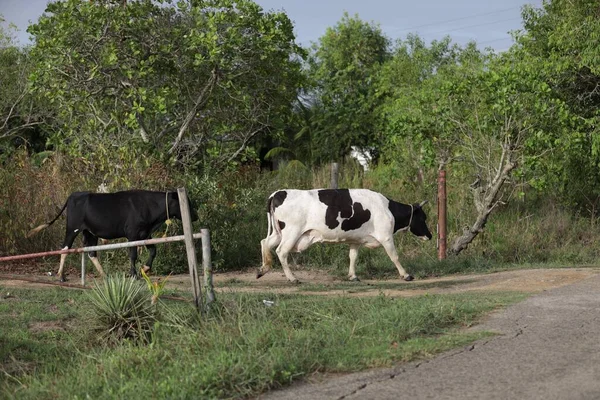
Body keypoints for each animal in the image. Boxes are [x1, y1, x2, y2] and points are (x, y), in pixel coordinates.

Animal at [28, 190, 198, 282]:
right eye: (186, 202)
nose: (195, 216)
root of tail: (75, 194)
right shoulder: (132, 233)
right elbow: (133, 254)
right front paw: (134, 275)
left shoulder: (145, 233)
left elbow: (153, 250)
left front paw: (145, 268)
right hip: (72, 228)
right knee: (65, 248)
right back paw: (61, 276)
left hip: (90, 232)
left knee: (91, 252)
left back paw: (104, 275)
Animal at [258, 189, 432, 282]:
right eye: (423, 217)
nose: (430, 236)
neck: (388, 208)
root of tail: (277, 193)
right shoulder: (386, 237)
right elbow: (394, 256)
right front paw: (406, 275)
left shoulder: (356, 240)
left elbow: (352, 257)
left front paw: (353, 276)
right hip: (291, 232)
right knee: (281, 251)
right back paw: (292, 278)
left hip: (278, 232)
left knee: (265, 242)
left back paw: (263, 269)